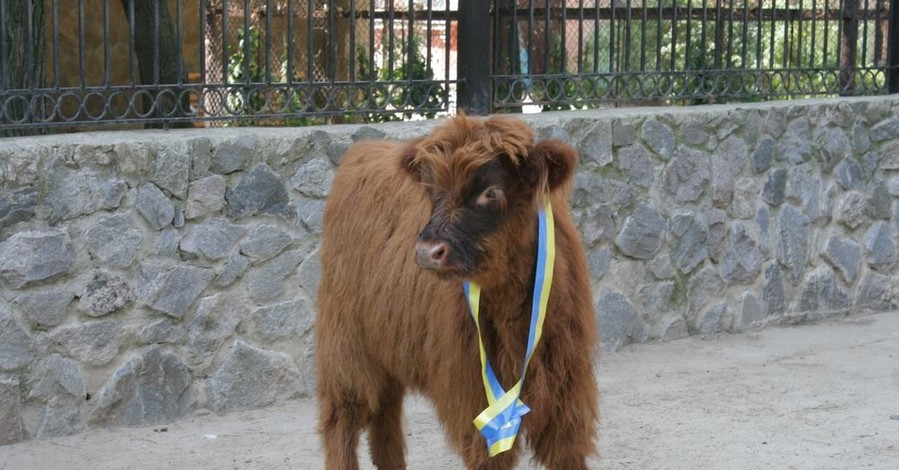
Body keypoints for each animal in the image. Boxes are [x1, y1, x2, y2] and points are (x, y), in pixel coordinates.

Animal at [316, 114, 596, 470]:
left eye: (491, 192)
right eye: (432, 191)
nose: (427, 252)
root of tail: (363, 149)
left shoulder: (566, 397)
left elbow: (566, 452)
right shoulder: (476, 399)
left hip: (388, 344)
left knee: (385, 418)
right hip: (345, 347)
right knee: (342, 419)